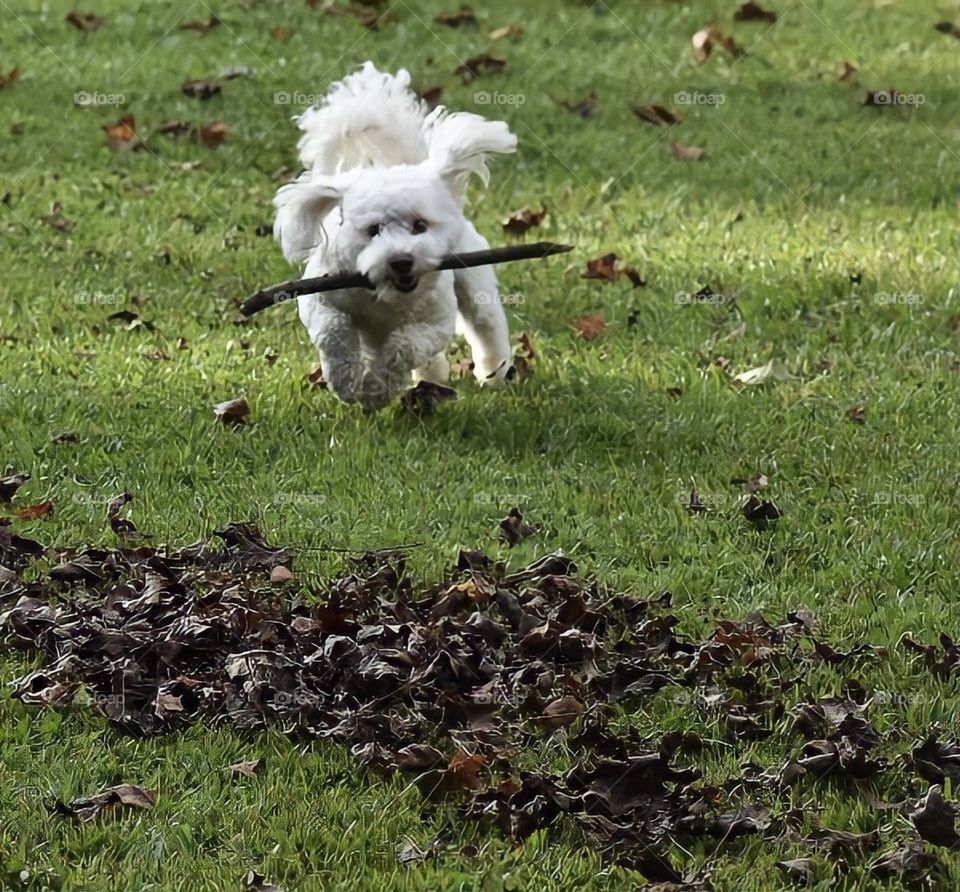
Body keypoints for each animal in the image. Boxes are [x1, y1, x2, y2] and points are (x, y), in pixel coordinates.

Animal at [274, 63, 516, 412]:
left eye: (420, 225)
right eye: (373, 230)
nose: (401, 260)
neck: (384, 295)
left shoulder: (435, 322)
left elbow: (403, 347)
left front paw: (375, 390)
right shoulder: (319, 300)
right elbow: (334, 331)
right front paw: (347, 382)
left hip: (473, 281)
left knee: (487, 325)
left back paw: (493, 372)